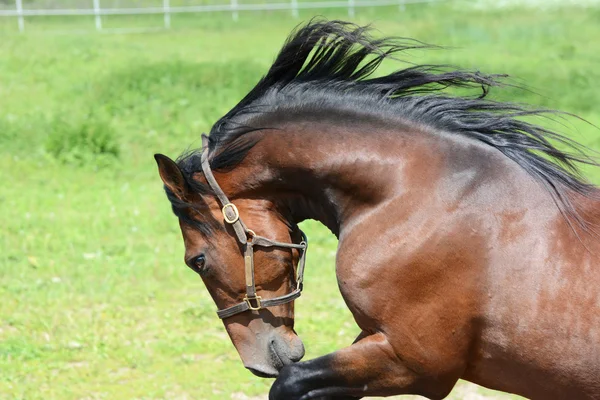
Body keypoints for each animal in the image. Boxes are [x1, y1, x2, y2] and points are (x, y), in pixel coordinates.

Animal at [154, 19, 600, 400]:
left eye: (197, 260)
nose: (257, 361)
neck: (412, 199)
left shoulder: (414, 362)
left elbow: (289, 385)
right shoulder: (375, 340)